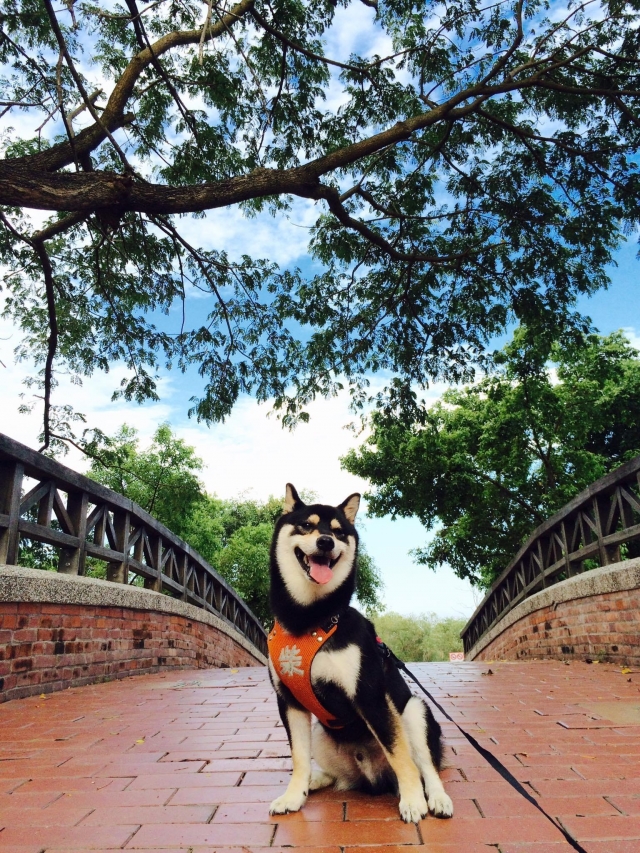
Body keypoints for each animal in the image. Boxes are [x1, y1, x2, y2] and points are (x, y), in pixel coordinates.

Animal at [266, 482, 456, 824]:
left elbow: (401, 757)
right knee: (334, 775)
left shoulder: (369, 694)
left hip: (414, 711)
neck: (310, 621)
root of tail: (372, 778)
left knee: (427, 767)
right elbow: (299, 758)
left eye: (339, 532)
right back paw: (315, 780)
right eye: (307, 525)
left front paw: (413, 801)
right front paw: (292, 796)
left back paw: (435, 798)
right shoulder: (288, 701)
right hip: (322, 733)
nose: (326, 541)